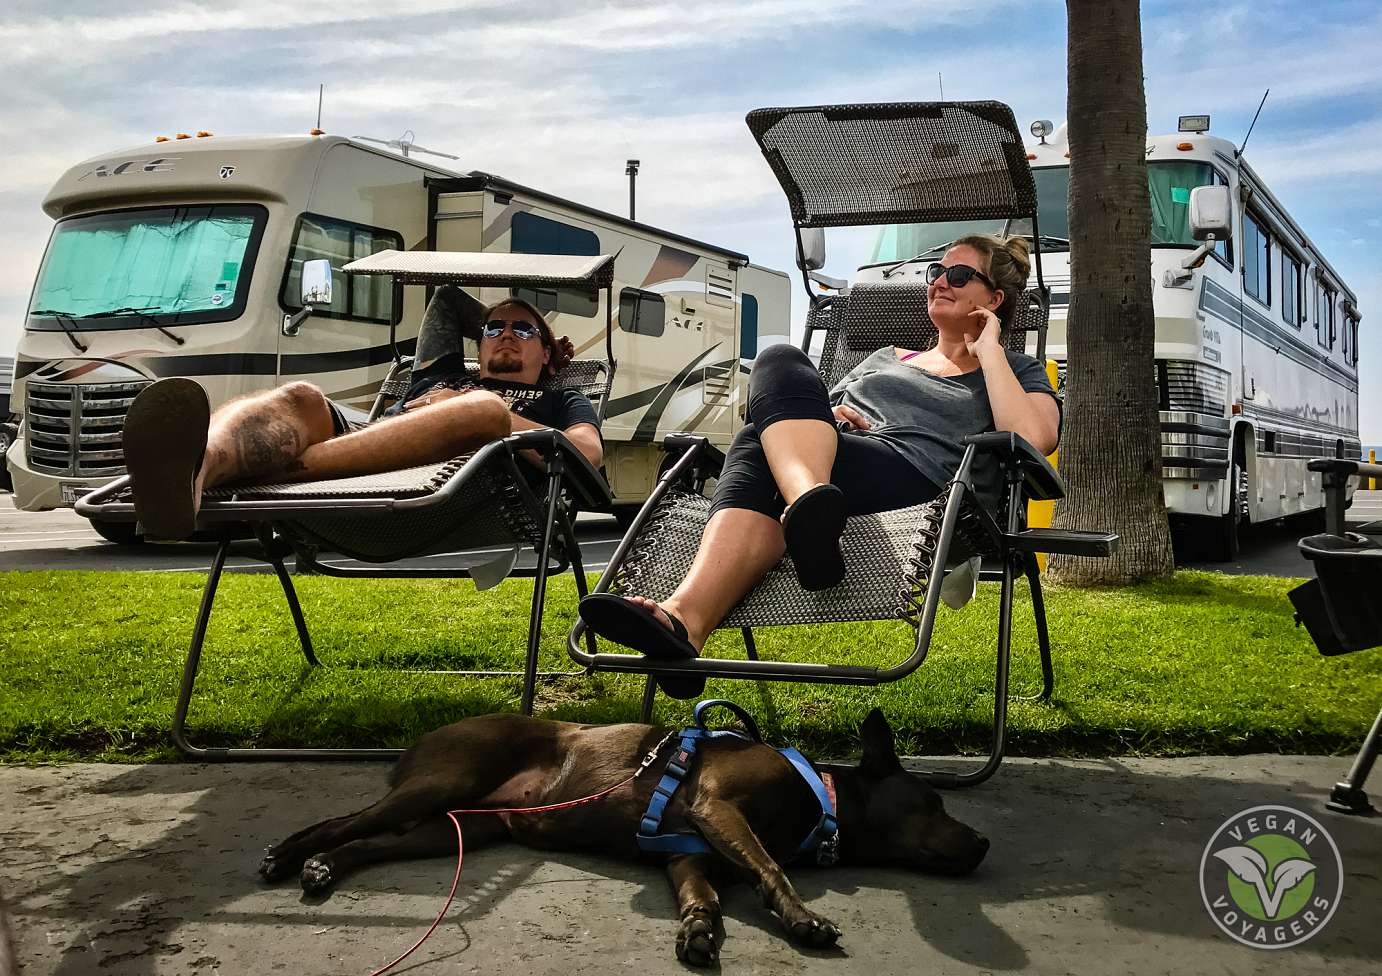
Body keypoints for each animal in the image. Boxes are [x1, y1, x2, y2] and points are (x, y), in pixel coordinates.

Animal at [259, 702, 989, 962]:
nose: (983, 843)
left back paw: (326, 868)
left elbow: (706, 896)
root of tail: (425, 737)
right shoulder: (718, 808)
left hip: (456, 827)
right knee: (339, 822)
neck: (819, 797)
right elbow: (769, 867)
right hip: (442, 785)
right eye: (932, 802)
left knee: (368, 841)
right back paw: (290, 855)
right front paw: (804, 920)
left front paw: (698, 931)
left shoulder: (691, 853)